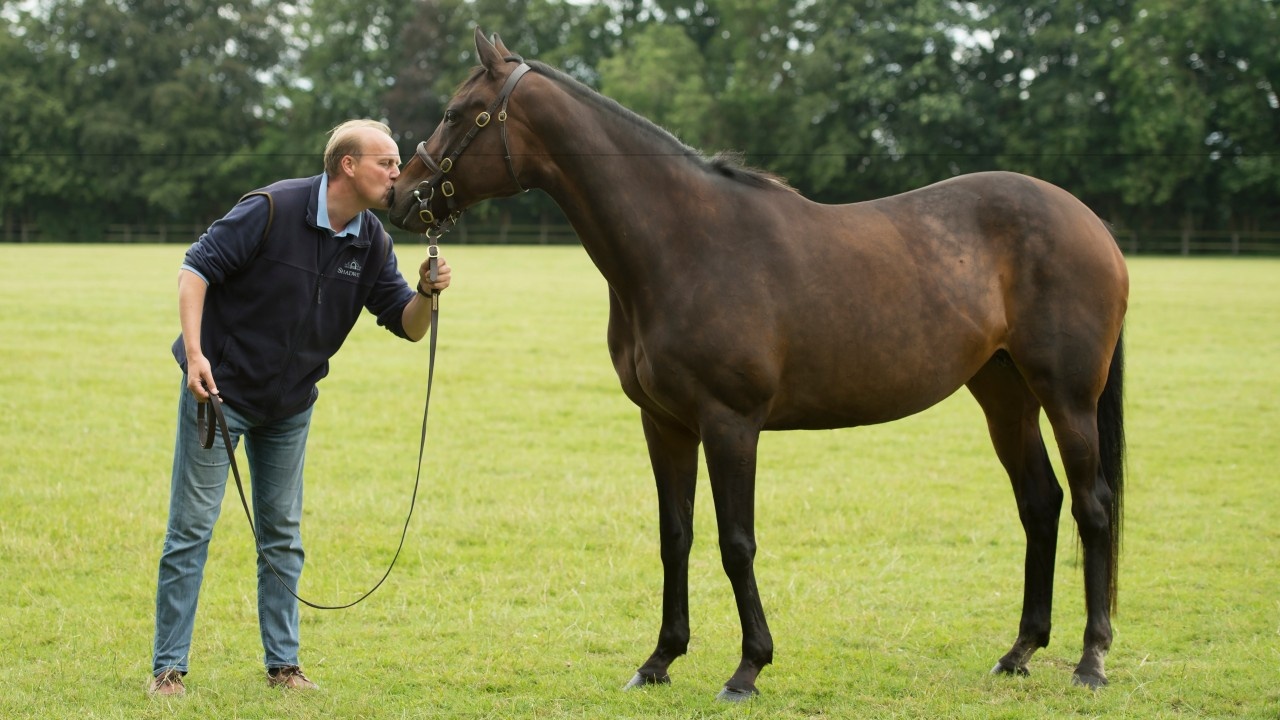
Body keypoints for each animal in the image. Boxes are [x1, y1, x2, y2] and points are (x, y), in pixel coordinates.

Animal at [384, 28, 1126, 696]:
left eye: (459, 113)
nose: (398, 195)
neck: (682, 245)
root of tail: (1091, 224)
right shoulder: (665, 425)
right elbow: (675, 535)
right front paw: (660, 661)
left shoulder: (730, 423)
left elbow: (735, 541)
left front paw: (748, 668)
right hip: (1003, 393)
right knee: (1041, 503)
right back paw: (1019, 651)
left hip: (1068, 397)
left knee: (1092, 507)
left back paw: (1091, 662)